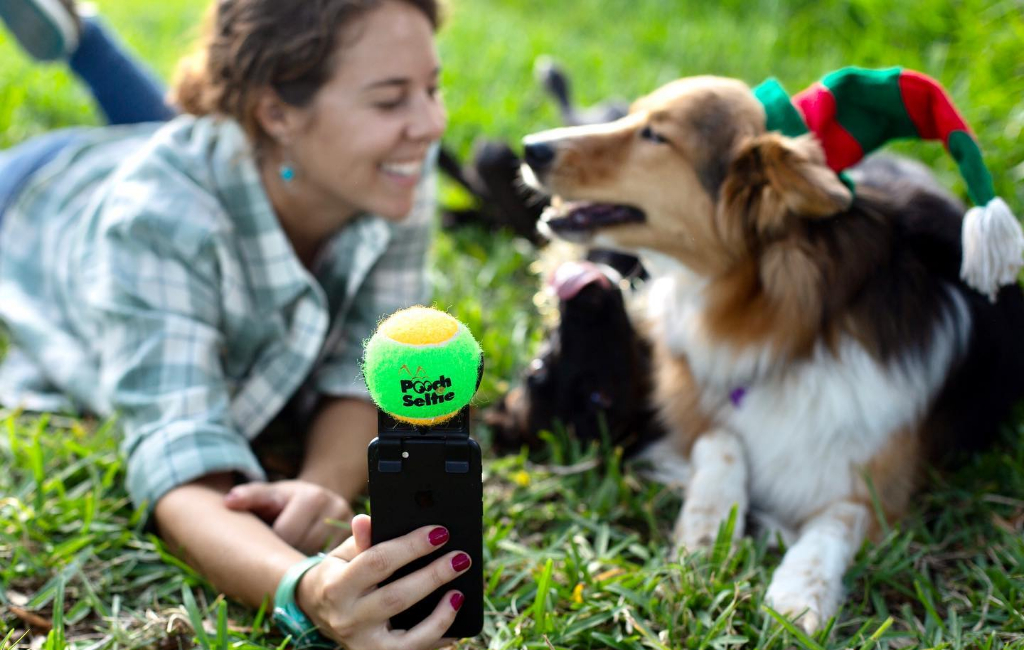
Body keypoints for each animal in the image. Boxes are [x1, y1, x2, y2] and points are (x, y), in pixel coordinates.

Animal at [520, 75, 1024, 630]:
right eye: (631, 116)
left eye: (654, 135)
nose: (530, 147)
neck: (786, 322)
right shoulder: (683, 389)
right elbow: (722, 440)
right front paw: (707, 531)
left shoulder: (881, 475)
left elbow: (836, 523)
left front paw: (798, 595)